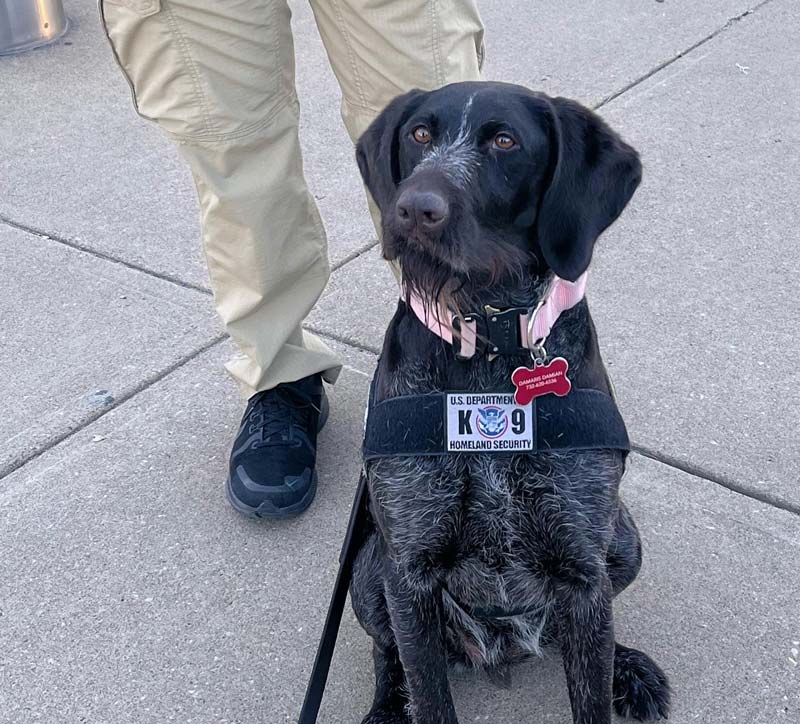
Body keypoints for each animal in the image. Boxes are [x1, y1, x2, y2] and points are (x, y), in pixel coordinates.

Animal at [350, 82, 668, 724]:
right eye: (419, 134)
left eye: (504, 141)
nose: (413, 208)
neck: (489, 338)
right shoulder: (409, 572)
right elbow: (426, 691)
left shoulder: (583, 567)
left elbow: (591, 689)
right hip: (369, 578)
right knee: (385, 652)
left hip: (622, 541)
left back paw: (627, 667)